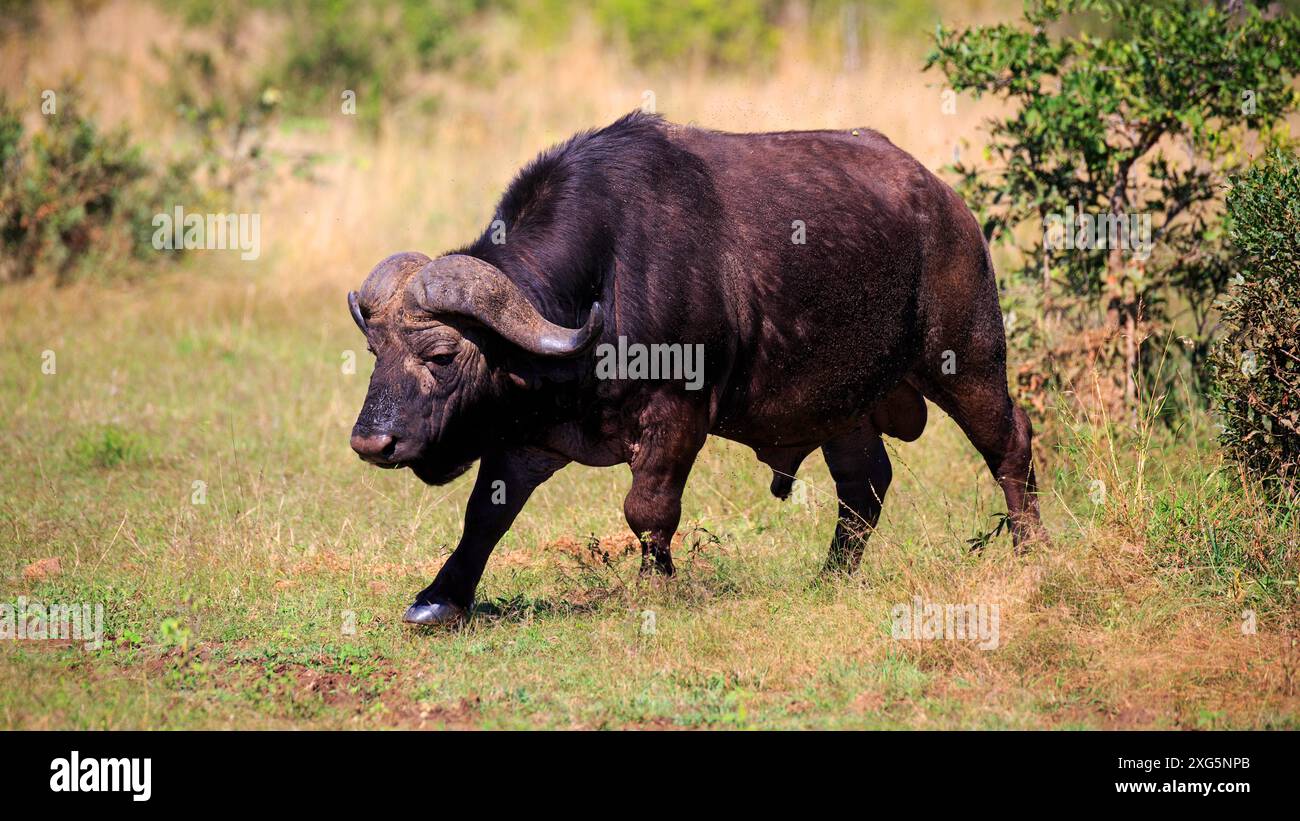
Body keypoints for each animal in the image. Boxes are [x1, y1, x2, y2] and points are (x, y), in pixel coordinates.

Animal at [348, 109, 1045, 620]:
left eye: (441, 354)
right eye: (376, 352)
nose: (371, 443)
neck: (604, 283)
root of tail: (949, 205)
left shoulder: (677, 416)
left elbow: (648, 509)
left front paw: (656, 586)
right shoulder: (529, 437)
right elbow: (485, 514)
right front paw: (439, 598)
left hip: (967, 359)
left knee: (1010, 440)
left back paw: (1031, 549)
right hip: (844, 407)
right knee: (864, 484)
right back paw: (830, 577)